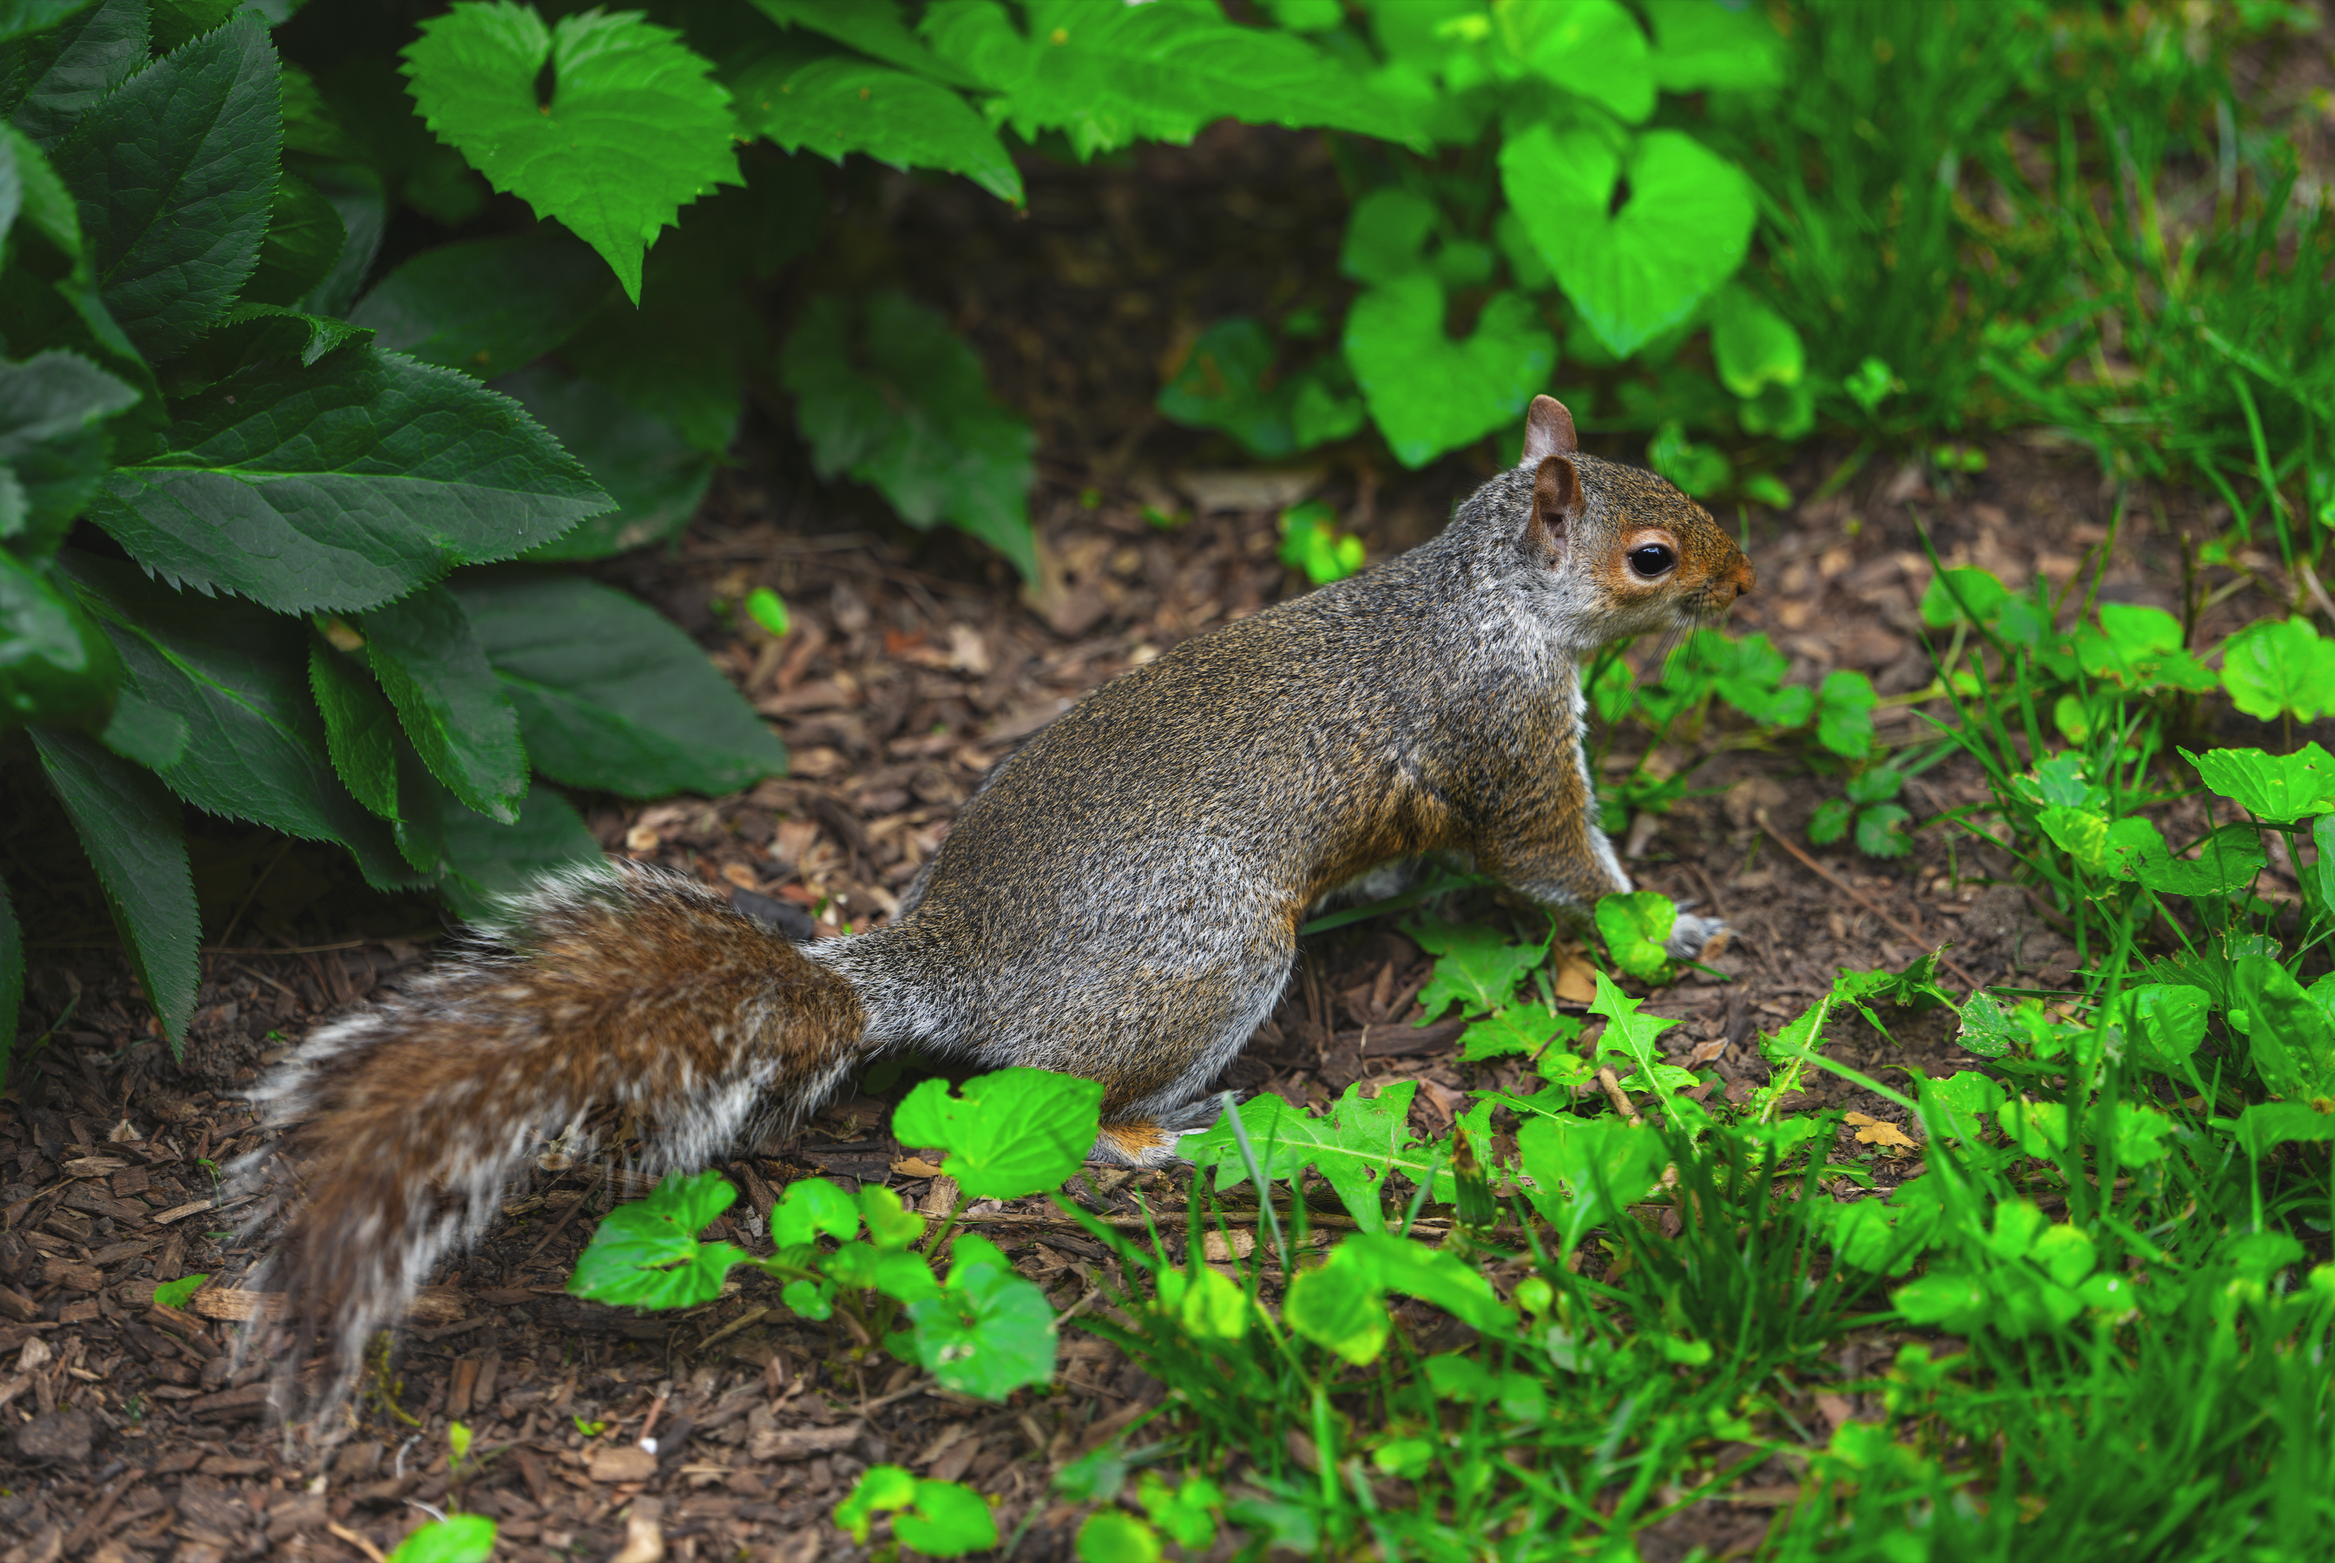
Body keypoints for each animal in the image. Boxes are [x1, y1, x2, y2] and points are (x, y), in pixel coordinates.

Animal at [236, 395, 1754, 1377]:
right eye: (1651, 556)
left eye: (1675, 489)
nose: (1742, 581)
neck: (1484, 597)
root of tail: (948, 969)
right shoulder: (1505, 740)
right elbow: (1555, 862)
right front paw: (1672, 921)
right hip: (1217, 963)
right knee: (1080, 1109)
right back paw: (1175, 1133)